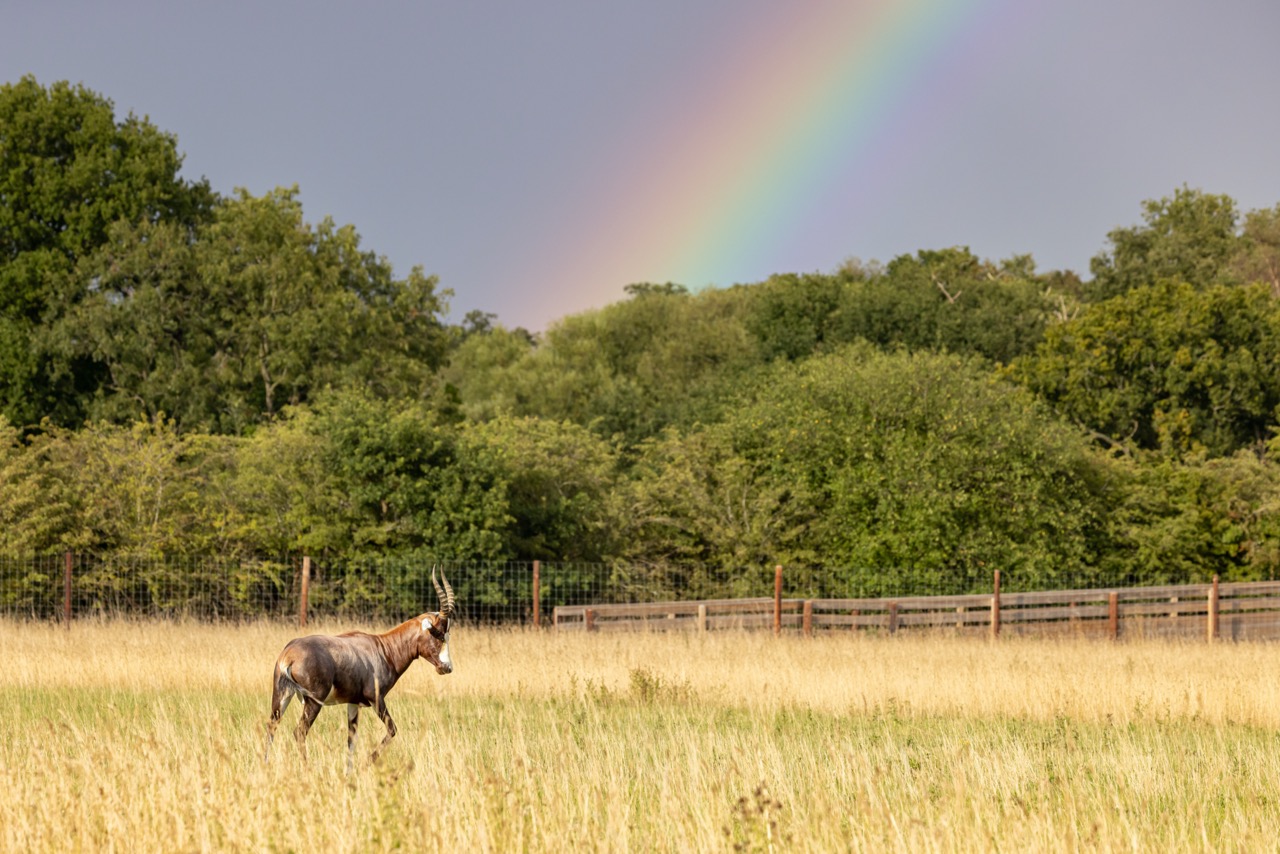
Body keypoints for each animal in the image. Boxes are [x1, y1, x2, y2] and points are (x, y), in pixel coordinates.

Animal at [262, 568, 458, 768]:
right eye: (437, 633)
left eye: (448, 634)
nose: (447, 667)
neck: (383, 648)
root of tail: (289, 655)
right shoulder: (376, 699)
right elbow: (392, 729)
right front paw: (367, 762)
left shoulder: (353, 702)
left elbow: (351, 739)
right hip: (314, 701)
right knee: (299, 731)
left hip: (282, 696)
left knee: (271, 726)